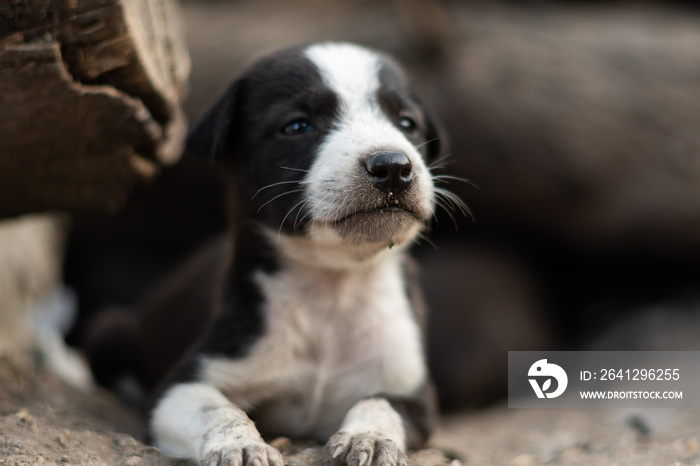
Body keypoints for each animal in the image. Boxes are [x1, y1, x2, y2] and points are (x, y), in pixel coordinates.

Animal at [150, 41, 442, 464]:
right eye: (297, 126)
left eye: (406, 123)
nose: (392, 166)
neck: (333, 287)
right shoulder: (180, 386)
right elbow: (216, 407)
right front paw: (239, 443)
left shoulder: (417, 395)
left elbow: (380, 402)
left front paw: (368, 437)